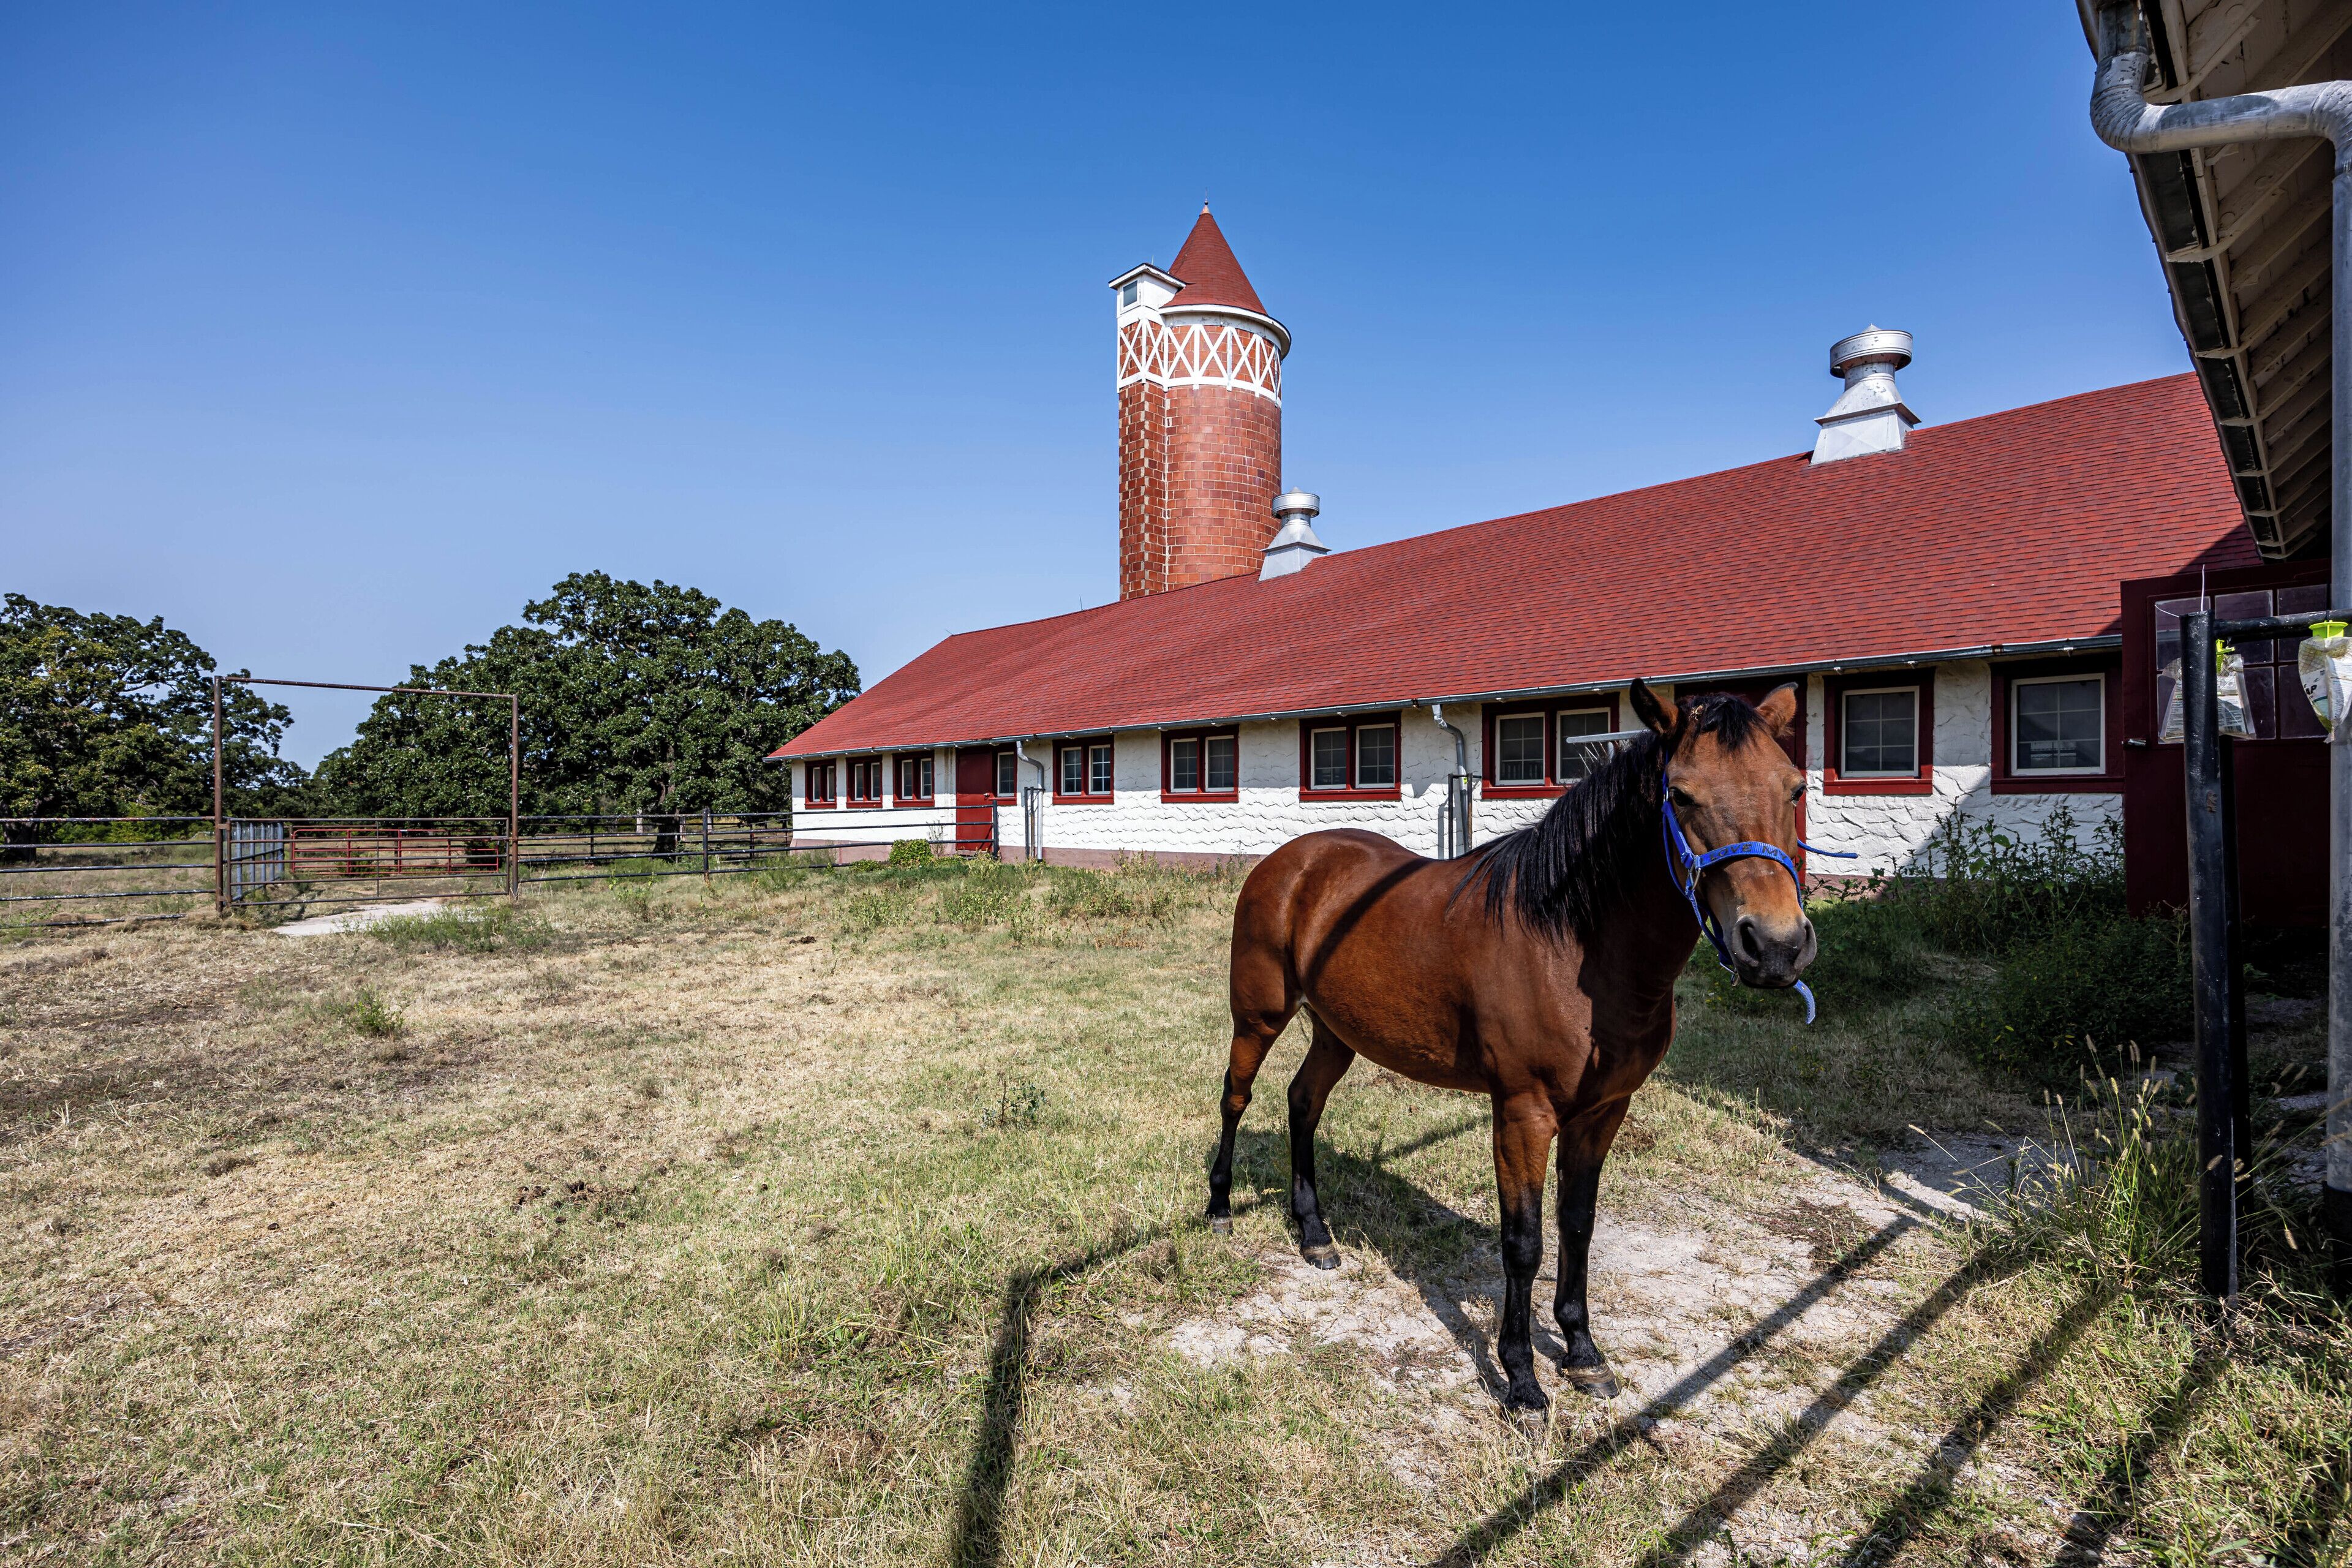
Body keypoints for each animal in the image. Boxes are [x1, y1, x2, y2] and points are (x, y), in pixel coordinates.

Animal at [1205, 679, 1815, 1414]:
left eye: (1793, 788)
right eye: (1683, 794)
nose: (1776, 946)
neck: (1572, 944)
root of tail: (1288, 861)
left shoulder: (1603, 1112)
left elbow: (1576, 1225)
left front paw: (1583, 1353)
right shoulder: (1523, 1113)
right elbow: (1523, 1242)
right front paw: (1522, 1380)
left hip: (1337, 1030)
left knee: (1303, 1102)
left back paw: (1316, 1235)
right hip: (1258, 1017)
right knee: (1236, 1098)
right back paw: (1219, 1208)